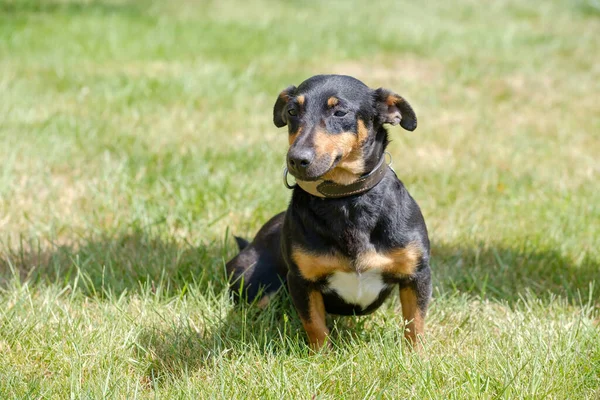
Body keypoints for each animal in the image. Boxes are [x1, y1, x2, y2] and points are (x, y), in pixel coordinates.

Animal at [226, 75, 432, 350]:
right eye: (292, 111)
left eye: (340, 112)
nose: (296, 159)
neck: (345, 199)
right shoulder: (301, 281)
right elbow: (315, 326)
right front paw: (321, 356)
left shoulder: (417, 274)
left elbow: (415, 323)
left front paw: (415, 355)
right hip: (249, 278)